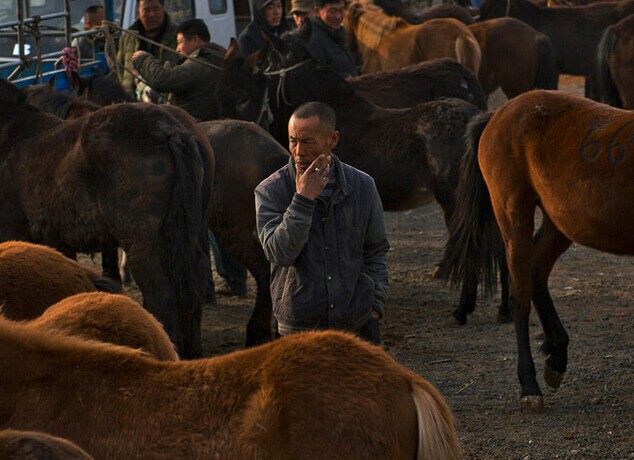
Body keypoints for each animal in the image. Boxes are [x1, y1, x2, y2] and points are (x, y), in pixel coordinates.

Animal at [436, 89, 632, 410]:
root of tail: (499, 113)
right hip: (514, 213)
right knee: (520, 294)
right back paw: (529, 386)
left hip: (560, 220)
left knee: (536, 270)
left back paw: (557, 355)